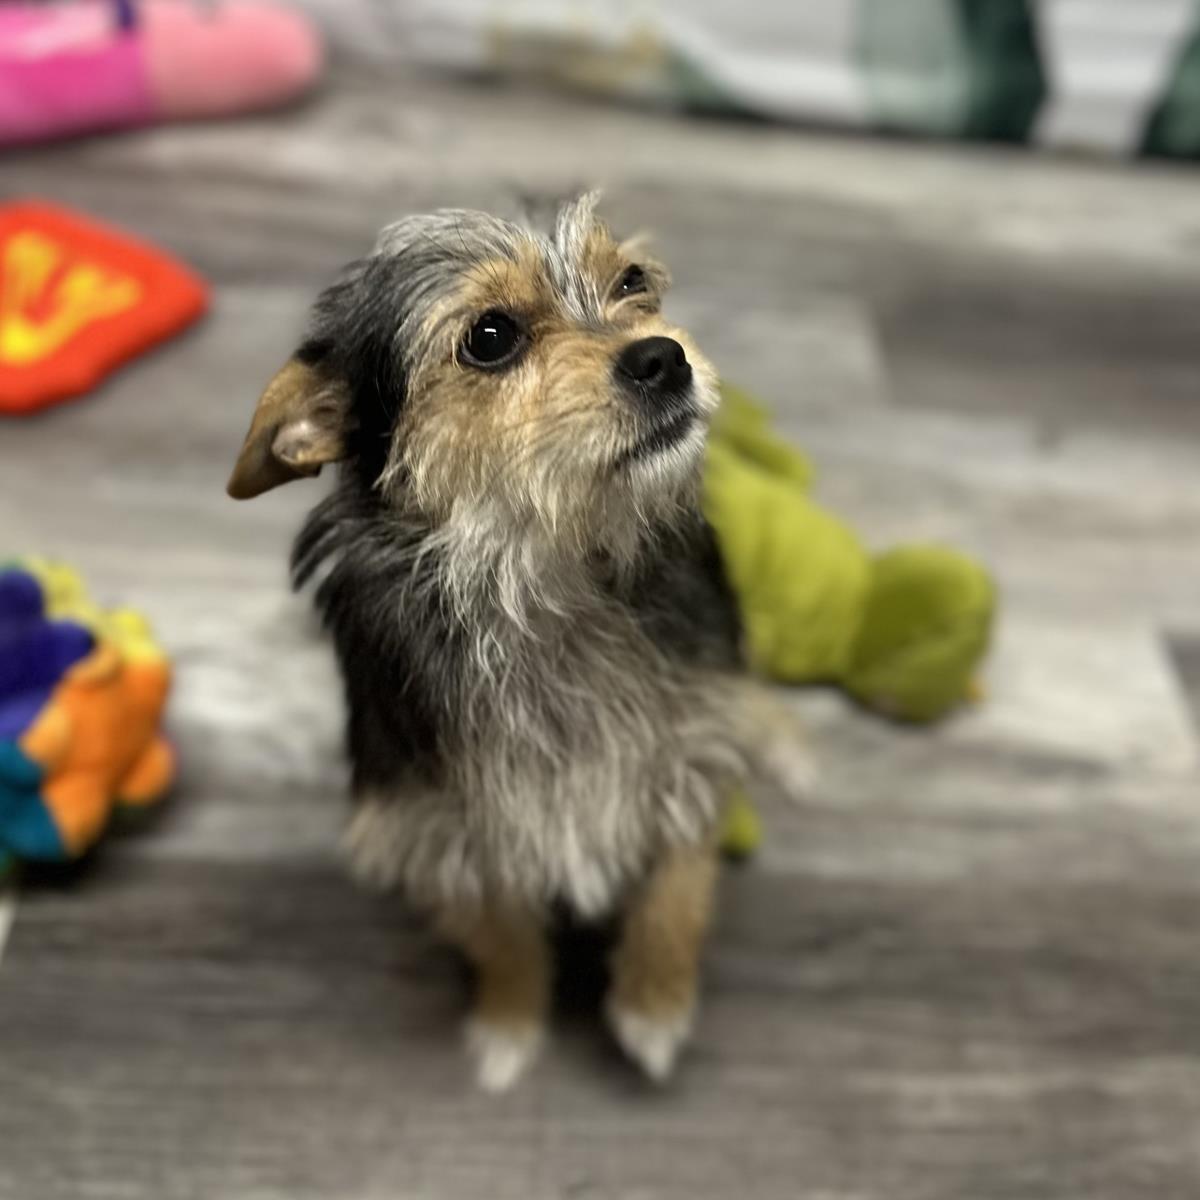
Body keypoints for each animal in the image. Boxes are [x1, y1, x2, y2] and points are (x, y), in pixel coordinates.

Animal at [227, 194, 808, 1091]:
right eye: (490, 336)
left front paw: (654, 1008)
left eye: (632, 282)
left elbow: (675, 898)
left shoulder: (687, 753)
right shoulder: (451, 828)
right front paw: (508, 1029)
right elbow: (502, 940)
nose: (664, 358)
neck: (545, 578)